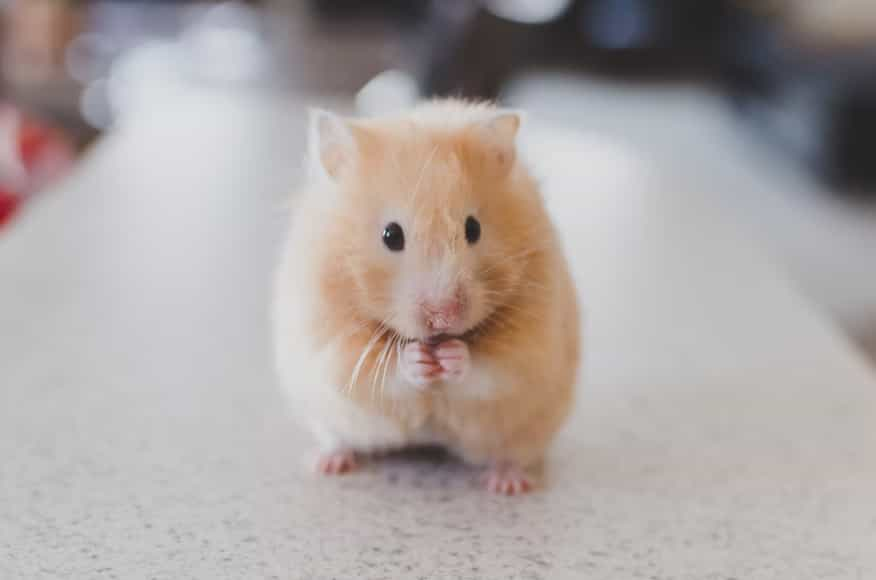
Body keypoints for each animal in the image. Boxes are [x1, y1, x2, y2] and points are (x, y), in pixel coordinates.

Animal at [270, 99, 580, 494]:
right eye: (391, 235)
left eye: (473, 228)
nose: (443, 317)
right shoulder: (331, 341)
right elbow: (376, 371)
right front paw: (418, 359)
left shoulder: (530, 343)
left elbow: (491, 368)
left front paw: (451, 356)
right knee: (337, 438)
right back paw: (327, 463)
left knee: (512, 454)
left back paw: (507, 484)